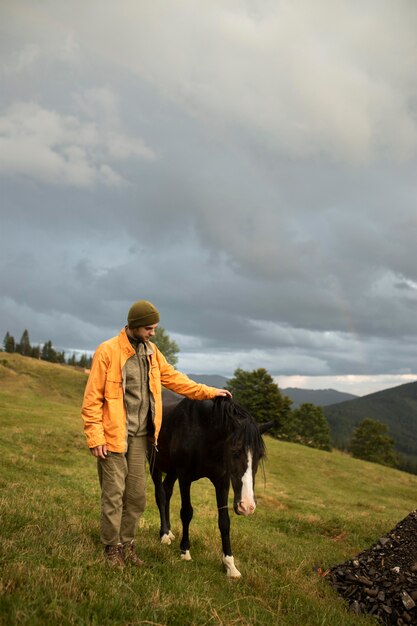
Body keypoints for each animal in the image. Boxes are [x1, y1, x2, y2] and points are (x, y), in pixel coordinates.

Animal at [148, 392, 272, 576]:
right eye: (235, 451)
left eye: (260, 455)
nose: (247, 506)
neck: (203, 431)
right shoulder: (185, 478)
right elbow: (187, 512)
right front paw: (185, 551)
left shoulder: (222, 481)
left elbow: (224, 521)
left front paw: (230, 565)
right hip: (154, 463)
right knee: (161, 495)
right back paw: (164, 534)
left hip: (172, 470)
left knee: (167, 490)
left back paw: (169, 532)